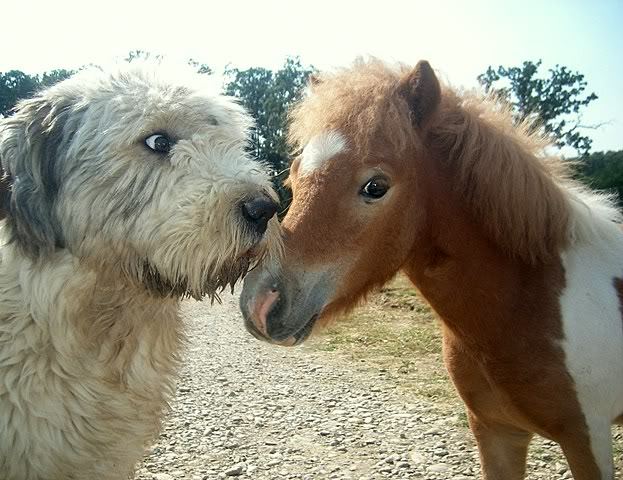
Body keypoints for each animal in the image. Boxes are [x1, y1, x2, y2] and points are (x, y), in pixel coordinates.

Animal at [241, 60, 623, 480]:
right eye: (293, 177)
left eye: (375, 186)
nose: (258, 305)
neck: (529, 299)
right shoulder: (496, 431)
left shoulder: (587, 439)